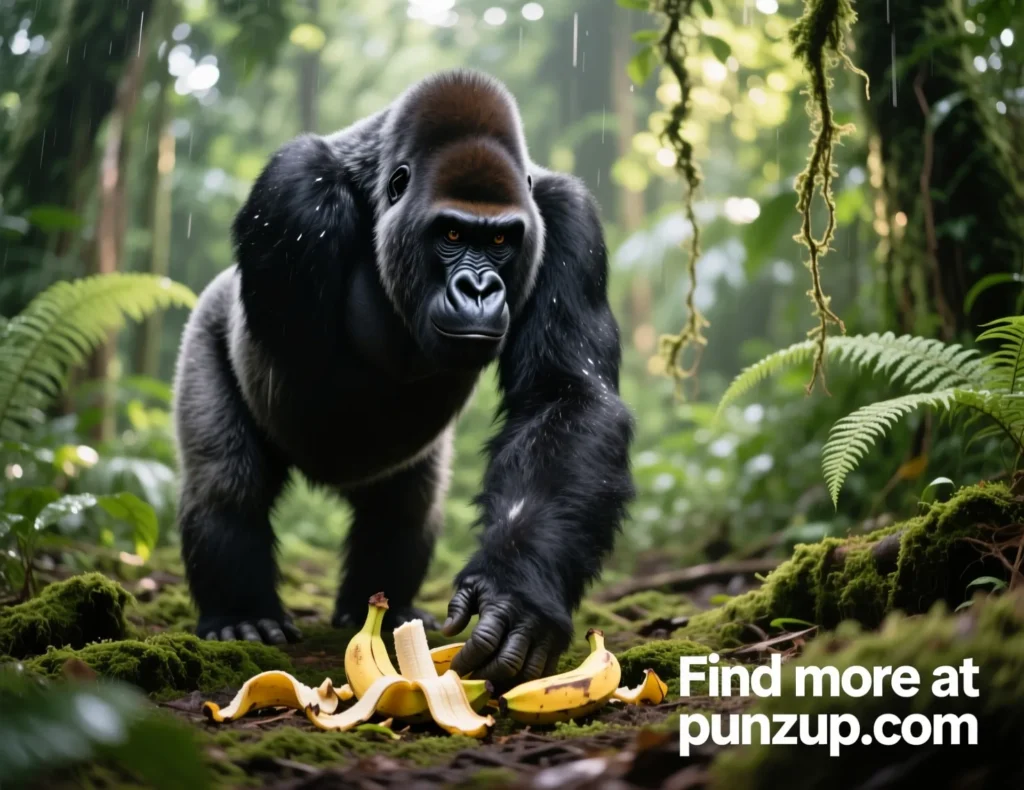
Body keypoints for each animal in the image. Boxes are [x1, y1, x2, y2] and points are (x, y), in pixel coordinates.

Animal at [172, 69, 635, 686]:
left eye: (500, 240)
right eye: (453, 236)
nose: (479, 290)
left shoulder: (567, 217)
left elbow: (565, 396)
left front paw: (517, 592)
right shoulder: (293, 193)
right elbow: (313, 398)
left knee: (407, 504)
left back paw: (377, 607)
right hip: (205, 325)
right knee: (226, 481)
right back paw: (240, 614)